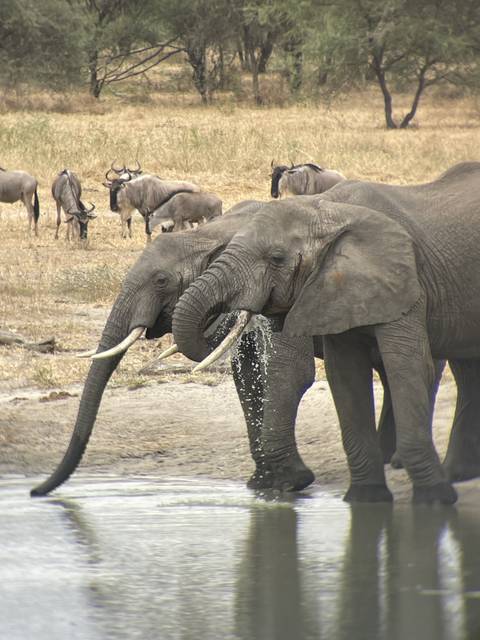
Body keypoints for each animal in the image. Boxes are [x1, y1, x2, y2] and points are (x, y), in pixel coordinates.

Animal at [30, 199, 400, 497]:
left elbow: (291, 371)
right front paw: (262, 483)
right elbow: (247, 374)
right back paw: (391, 458)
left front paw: (286, 484)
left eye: (161, 281)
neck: (209, 233)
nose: (36, 491)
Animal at [172, 162, 480, 505]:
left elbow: (406, 366)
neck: (326, 211)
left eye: (276, 258)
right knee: (468, 373)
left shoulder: (404, 280)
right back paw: (458, 473)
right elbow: (345, 376)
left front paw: (434, 501)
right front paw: (365, 500)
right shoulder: (332, 290)